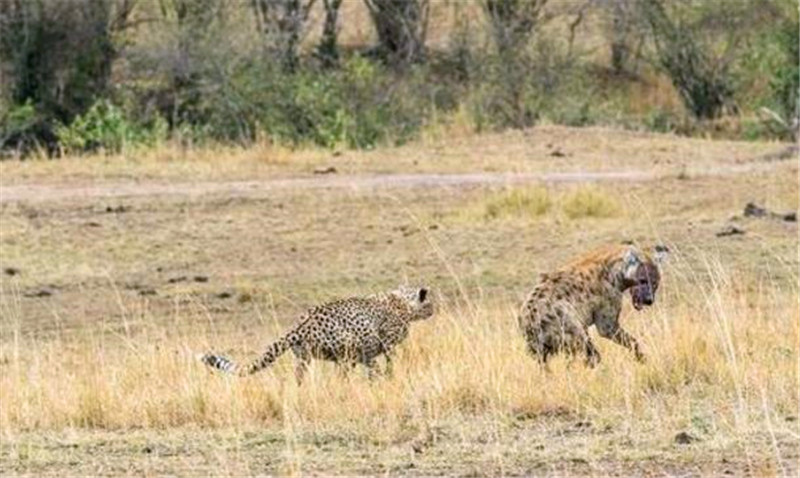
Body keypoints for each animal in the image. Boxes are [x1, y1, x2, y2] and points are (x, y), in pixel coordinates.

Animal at [203, 286, 434, 382]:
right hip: (349, 347)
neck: (403, 301)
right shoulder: (383, 344)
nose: (434, 310)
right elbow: (386, 363)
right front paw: (387, 379)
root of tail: (301, 324)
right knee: (345, 372)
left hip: (305, 357)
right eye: (429, 303)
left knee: (300, 377)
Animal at [516, 243, 664, 366]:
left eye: (655, 284)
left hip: (541, 348)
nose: (649, 300)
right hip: (569, 326)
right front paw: (642, 359)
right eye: (642, 280)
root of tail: (529, 321)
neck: (614, 272)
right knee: (591, 355)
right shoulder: (607, 319)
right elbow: (628, 339)